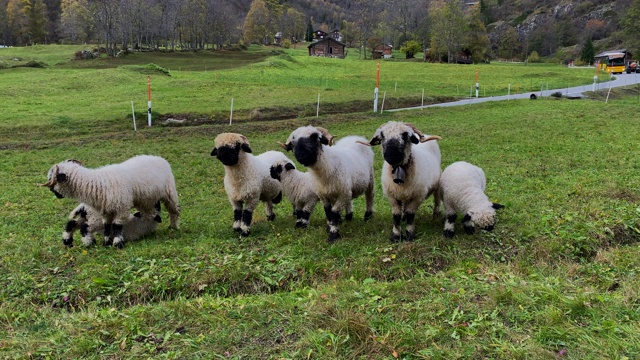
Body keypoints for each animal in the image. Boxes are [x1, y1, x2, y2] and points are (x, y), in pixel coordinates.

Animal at [39, 156, 180, 249]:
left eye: (52, 178)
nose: (54, 193)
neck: (97, 184)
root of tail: (159, 158)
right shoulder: (106, 211)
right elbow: (107, 227)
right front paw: (106, 242)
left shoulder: (122, 207)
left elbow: (116, 226)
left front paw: (117, 243)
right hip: (146, 200)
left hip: (169, 192)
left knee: (174, 210)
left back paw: (174, 227)